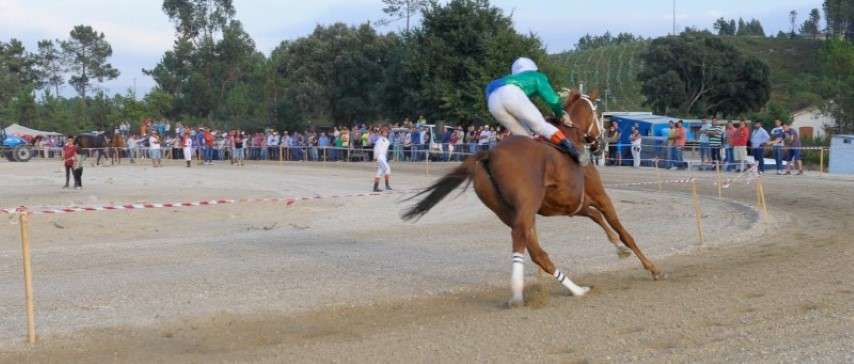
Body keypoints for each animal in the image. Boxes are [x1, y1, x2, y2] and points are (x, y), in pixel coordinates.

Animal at [404, 89, 664, 306]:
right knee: (521, 240)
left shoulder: (573, 203)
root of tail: (488, 153)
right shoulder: (600, 196)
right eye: (597, 115)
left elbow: (596, 218)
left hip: (506, 211)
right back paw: (518, 294)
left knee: (537, 253)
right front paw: (652, 268)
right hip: (525, 208)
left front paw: (620, 250)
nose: (600, 143)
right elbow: (623, 231)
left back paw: (576, 289)